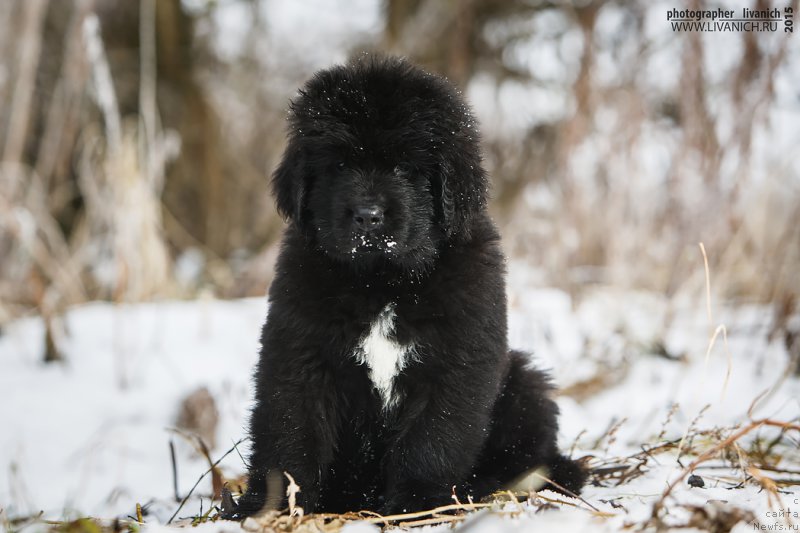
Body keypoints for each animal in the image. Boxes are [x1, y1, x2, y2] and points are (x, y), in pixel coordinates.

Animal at [228, 57, 584, 516]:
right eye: (339, 165)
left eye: (403, 167)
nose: (367, 216)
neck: (384, 283)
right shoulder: (299, 354)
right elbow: (289, 430)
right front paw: (268, 506)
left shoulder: (456, 363)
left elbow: (431, 440)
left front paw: (416, 504)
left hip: (525, 384)